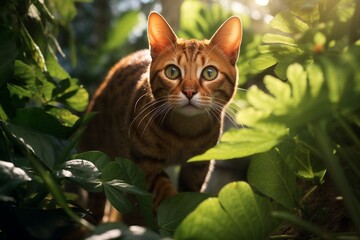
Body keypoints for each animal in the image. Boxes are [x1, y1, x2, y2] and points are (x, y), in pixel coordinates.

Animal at [78, 10, 242, 221]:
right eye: (172, 72)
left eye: (209, 73)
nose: (189, 92)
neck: (184, 134)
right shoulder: (142, 159)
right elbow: (163, 192)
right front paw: (173, 213)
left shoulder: (198, 165)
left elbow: (189, 192)